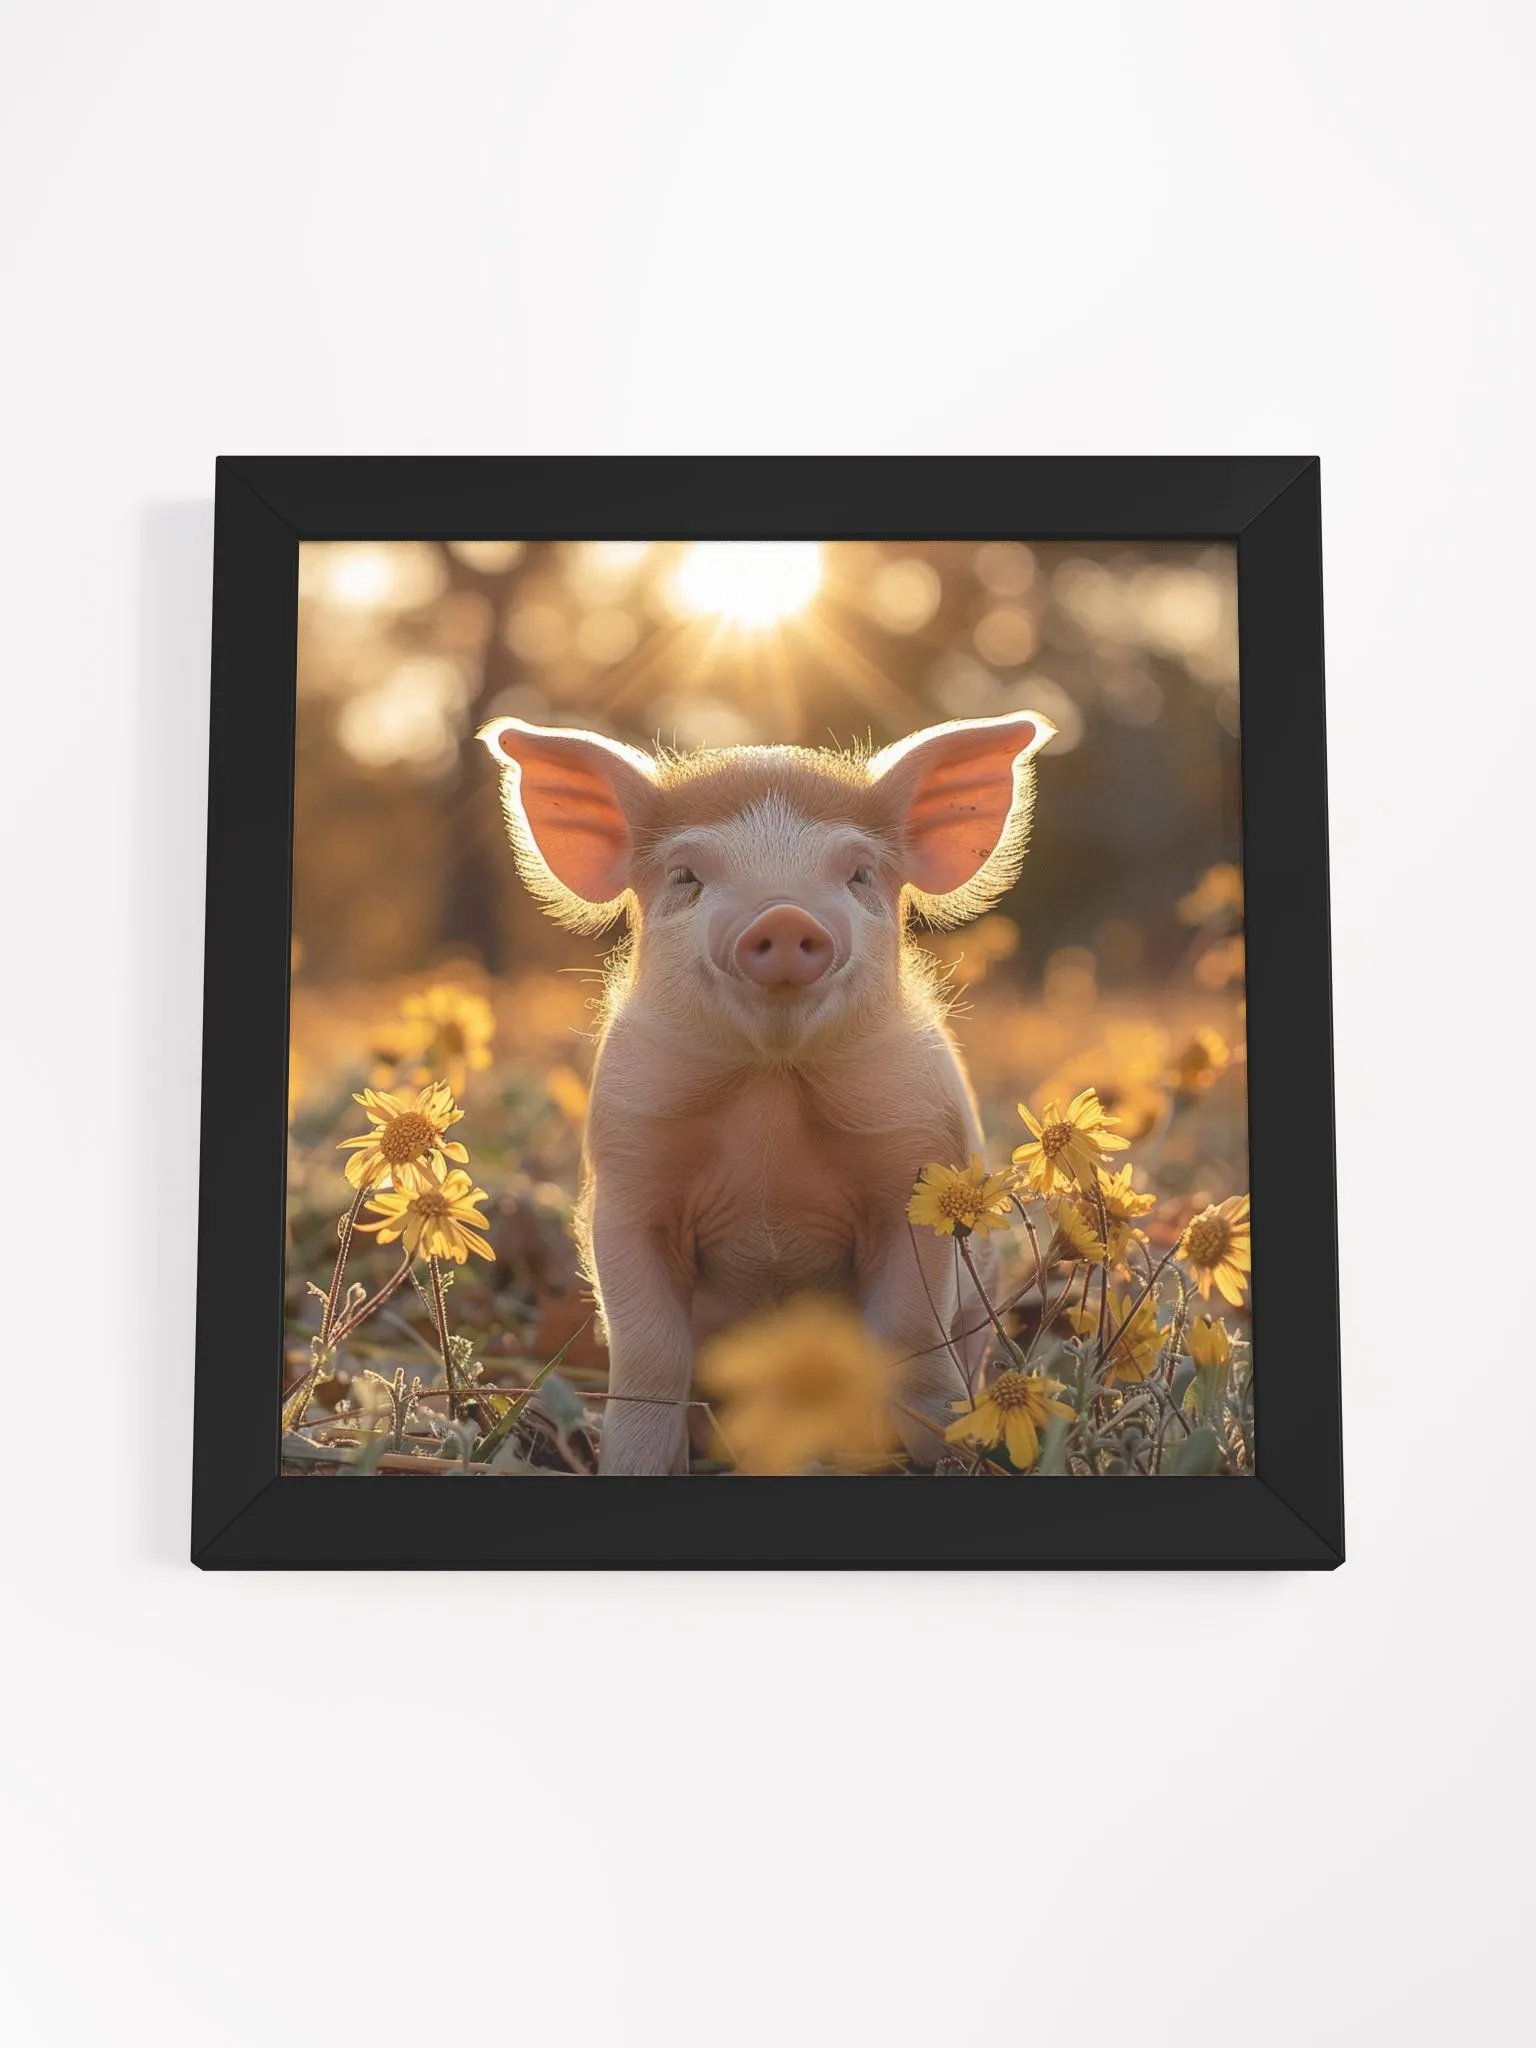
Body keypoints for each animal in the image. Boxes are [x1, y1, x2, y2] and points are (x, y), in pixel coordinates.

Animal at [478, 707, 1056, 1475]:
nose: (784, 917)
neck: (770, 1094)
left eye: (859, 873)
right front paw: (633, 1465)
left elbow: (907, 1339)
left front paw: (945, 1456)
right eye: (686, 876)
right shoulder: (627, 1186)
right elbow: (650, 1354)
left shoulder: (917, 1166)